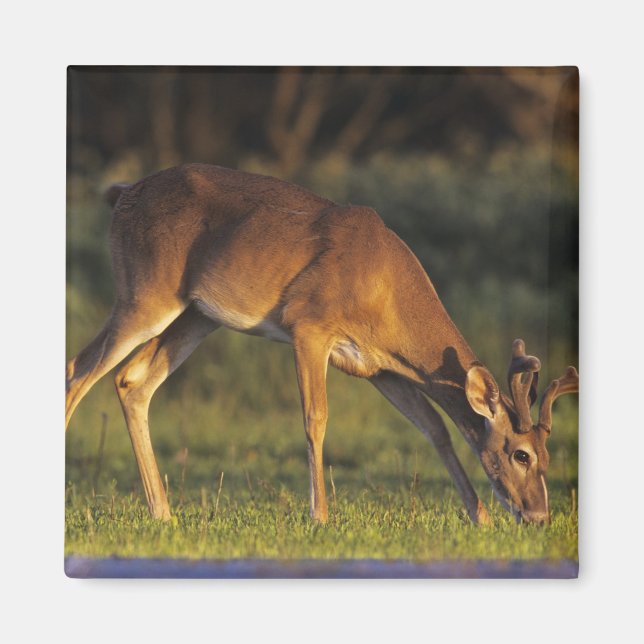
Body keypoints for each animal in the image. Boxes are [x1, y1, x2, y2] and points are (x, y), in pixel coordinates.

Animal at [65, 163, 578, 526]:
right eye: (521, 454)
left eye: (549, 455)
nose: (538, 516)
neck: (385, 289)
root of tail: (122, 195)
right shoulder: (309, 325)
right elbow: (316, 419)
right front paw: (321, 517)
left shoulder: (380, 368)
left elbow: (435, 429)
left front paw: (480, 517)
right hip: (145, 292)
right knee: (78, 370)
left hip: (197, 315)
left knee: (132, 381)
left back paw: (163, 514)